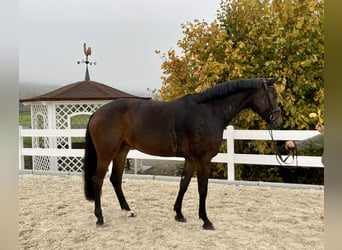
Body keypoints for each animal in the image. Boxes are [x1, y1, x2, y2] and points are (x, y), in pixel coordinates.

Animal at [83, 77, 284, 229]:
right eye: (272, 95)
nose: (279, 121)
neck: (209, 111)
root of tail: (97, 113)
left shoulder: (191, 159)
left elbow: (184, 184)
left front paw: (179, 214)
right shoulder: (203, 160)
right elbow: (202, 189)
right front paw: (206, 220)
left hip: (121, 151)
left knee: (115, 179)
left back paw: (128, 210)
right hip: (106, 155)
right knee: (98, 181)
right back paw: (99, 218)